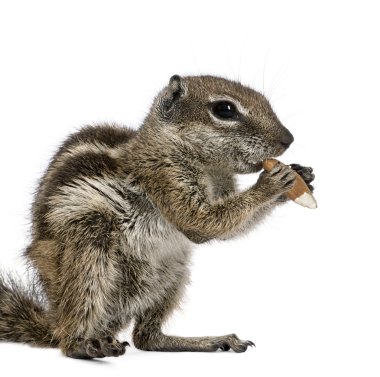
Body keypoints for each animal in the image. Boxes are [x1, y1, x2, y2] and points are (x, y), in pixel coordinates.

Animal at [0, 75, 314, 356]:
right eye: (225, 109)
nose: (288, 139)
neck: (211, 168)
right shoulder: (163, 175)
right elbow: (201, 223)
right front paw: (272, 182)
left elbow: (228, 226)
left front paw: (301, 177)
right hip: (89, 247)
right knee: (71, 335)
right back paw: (84, 345)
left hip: (173, 270)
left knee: (147, 338)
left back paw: (209, 341)